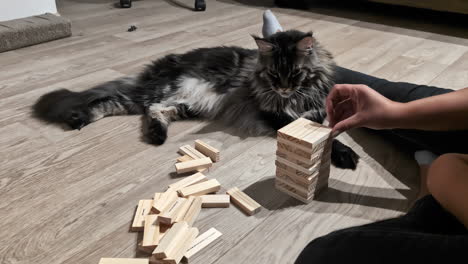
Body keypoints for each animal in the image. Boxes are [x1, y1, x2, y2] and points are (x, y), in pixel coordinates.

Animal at [34, 29, 360, 169]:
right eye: (272, 74)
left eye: (294, 73)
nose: (282, 90)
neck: (299, 95)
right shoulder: (273, 115)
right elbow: (327, 138)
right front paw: (344, 155)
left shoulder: (314, 112)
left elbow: (325, 130)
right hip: (164, 91)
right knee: (111, 101)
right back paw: (78, 118)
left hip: (188, 105)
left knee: (151, 110)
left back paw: (157, 135)